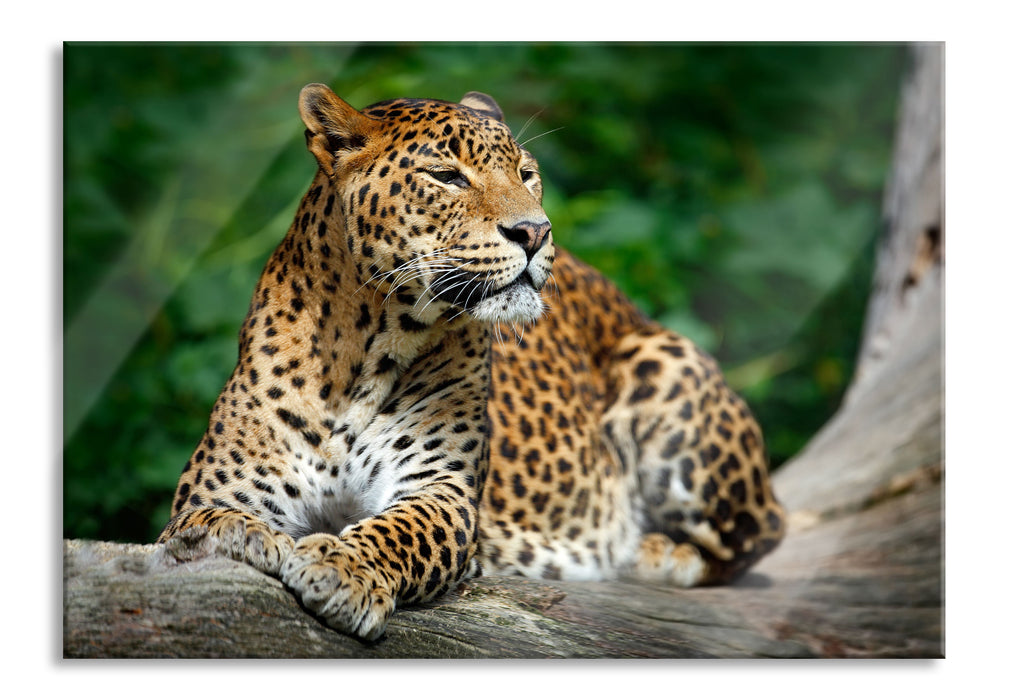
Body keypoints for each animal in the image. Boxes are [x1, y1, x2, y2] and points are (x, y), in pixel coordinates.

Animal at [157, 83, 786, 641]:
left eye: (526, 174)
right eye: (447, 176)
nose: (535, 231)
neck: (363, 349)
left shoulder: (442, 490)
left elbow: (398, 531)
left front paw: (340, 568)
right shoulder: (217, 487)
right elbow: (203, 523)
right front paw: (244, 538)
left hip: (664, 365)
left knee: (761, 532)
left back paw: (651, 551)